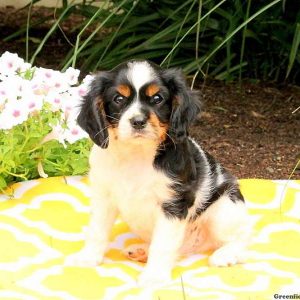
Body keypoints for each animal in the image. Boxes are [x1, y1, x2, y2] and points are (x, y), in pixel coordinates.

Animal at [67, 59, 252, 288]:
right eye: (119, 99)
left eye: (157, 99)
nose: (138, 121)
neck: (136, 154)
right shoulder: (103, 197)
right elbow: (97, 230)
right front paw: (88, 258)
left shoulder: (173, 204)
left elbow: (162, 245)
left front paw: (154, 276)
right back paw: (141, 250)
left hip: (223, 211)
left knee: (244, 239)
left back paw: (225, 255)